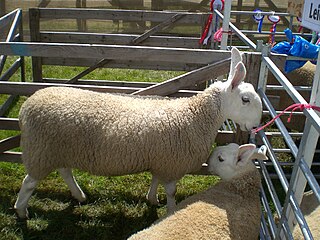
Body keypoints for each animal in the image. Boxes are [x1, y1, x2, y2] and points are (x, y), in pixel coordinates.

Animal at [14, 46, 262, 218]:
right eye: (245, 99)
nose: (255, 126)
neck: (195, 114)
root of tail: (26, 107)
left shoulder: (161, 159)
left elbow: (154, 179)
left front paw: (152, 199)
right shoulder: (172, 163)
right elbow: (171, 192)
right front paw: (170, 211)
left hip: (59, 148)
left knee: (65, 171)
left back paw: (79, 195)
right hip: (41, 151)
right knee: (29, 183)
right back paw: (21, 211)